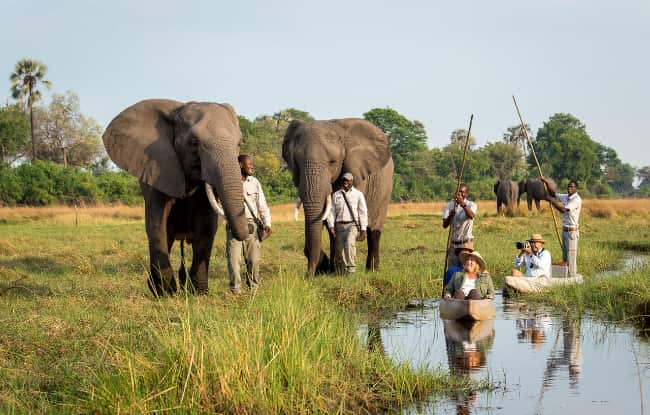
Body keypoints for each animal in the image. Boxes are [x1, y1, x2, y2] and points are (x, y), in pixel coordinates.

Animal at [102, 100, 247, 296]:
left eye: (239, 143)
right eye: (193, 143)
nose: (252, 227)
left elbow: (207, 226)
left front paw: (199, 293)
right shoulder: (158, 171)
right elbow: (157, 224)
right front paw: (166, 293)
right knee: (167, 237)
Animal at [280, 119, 392, 276]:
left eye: (332, 162)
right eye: (296, 163)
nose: (308, 276)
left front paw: (337, 270)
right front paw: (327, 268)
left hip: (385, 188)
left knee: (374, 229)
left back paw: (372, 270)